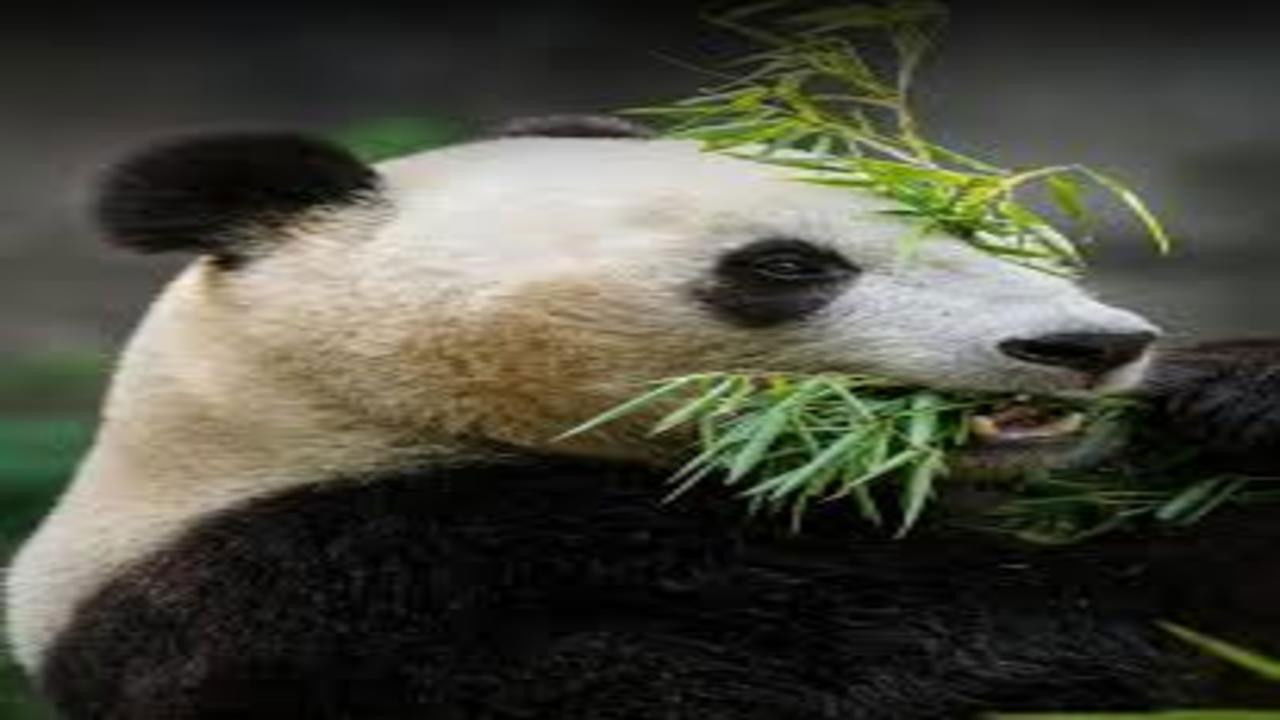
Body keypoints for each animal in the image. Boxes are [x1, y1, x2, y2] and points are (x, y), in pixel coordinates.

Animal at [6, 115, 1279, 719]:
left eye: (964, 221)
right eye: (784, 266)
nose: (1089, 346)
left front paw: (1226, 388)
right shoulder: (358, 587)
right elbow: (1010, 656)